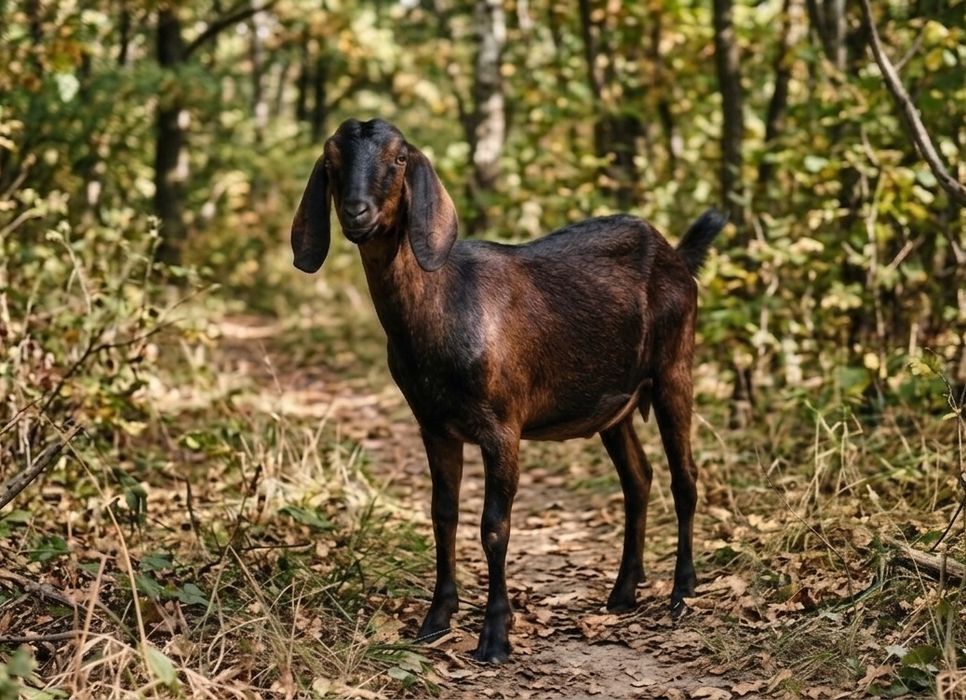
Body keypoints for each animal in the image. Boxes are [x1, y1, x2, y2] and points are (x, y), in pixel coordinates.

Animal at [291, 118, 726, 664]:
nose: (355, 211)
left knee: (684, 476)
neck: (444, 306)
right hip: (615, 405)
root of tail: (676, 255)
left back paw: (682, 591)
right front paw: (435, 621)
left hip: (674, 370)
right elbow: (443, 514)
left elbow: (494, 526)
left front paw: (495, 635)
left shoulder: (502, 427)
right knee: (638, 478)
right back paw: (623, 592)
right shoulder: (434, 425)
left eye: (398, 159)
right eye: (331, 161)